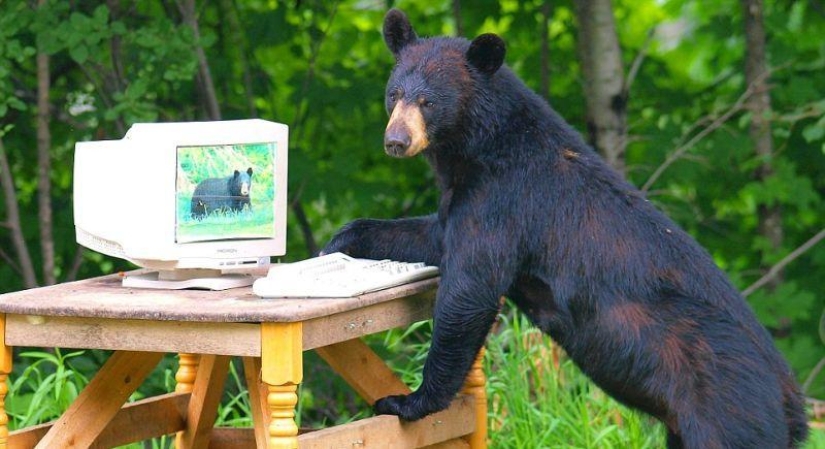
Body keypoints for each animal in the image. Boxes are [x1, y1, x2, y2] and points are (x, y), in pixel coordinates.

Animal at [324, 7, 812, 448]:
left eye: (429, 101)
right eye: (394, 94)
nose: (396, 141)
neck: (481, 147)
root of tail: (795, 406)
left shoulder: (503, 200)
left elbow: (470, 289)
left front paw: (408, 401)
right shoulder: (464, 199)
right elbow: (431, 235)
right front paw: (338, 242)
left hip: (723, 406)